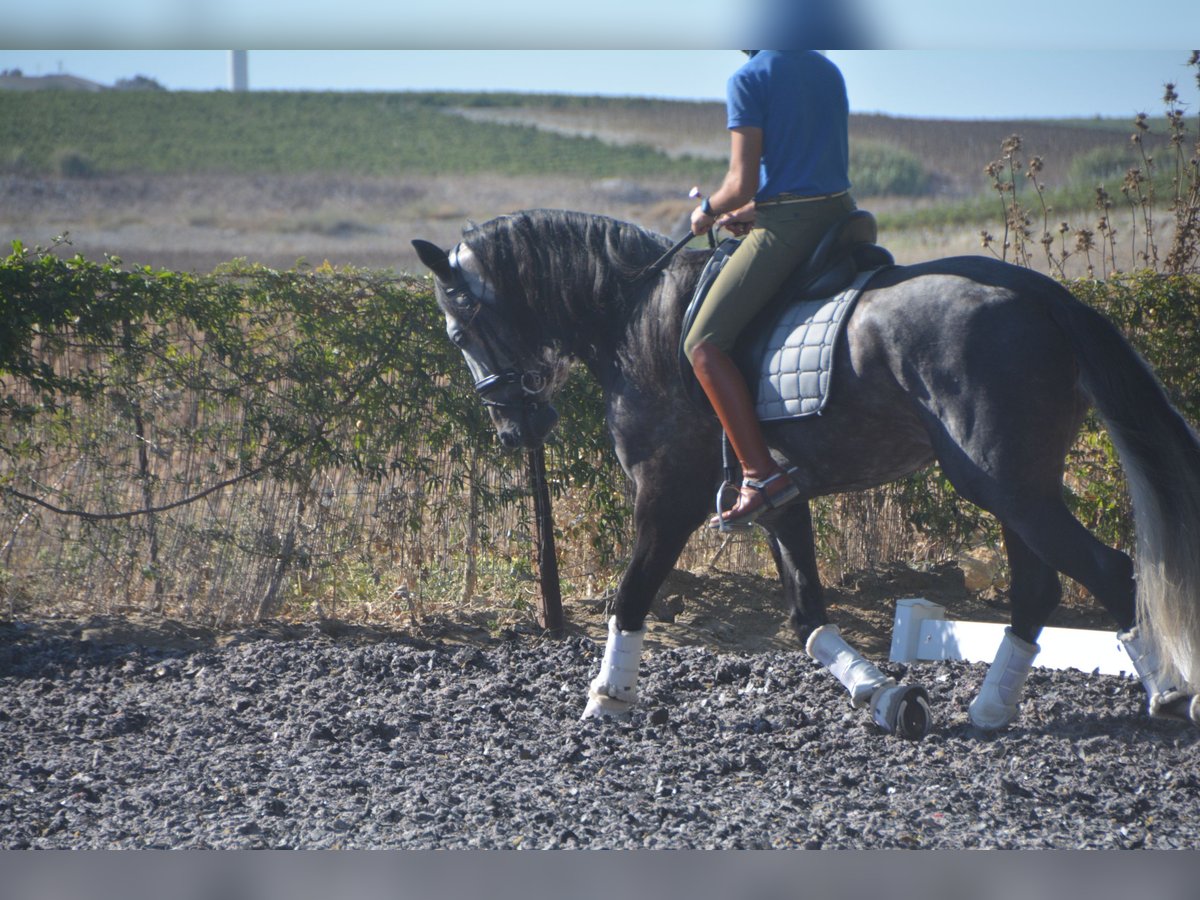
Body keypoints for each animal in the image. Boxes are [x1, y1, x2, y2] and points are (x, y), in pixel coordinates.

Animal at [412, 207, 1200, 734]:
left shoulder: (668, 493)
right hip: (1015, 484)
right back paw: (989, 708)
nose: (514, 430)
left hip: (1003, 481)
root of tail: (1042, 295)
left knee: (1111, 572)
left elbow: (630, 595)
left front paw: (607, 697)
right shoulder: (777, 498)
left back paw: (1168, 694)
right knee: (1038, 587)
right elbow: (806, 616)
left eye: (458, 332)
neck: (632, 317)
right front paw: (886, 696)